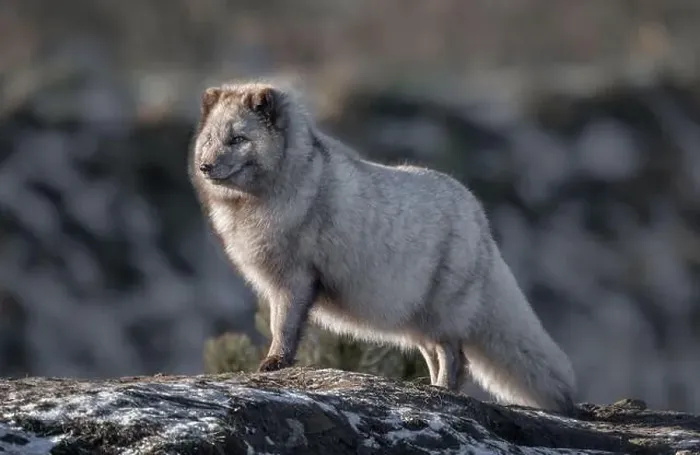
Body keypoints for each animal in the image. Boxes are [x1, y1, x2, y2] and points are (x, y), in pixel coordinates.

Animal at [188, 79, 577, 415]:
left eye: (238, 139)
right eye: (208, 139)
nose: (205, 166)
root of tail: (479, 219)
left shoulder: (295, 279)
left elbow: (283, 328)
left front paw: (274, 364)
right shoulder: (276, 283)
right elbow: (278, 325)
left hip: (440, 314)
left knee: (456, 357)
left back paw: (442, 390)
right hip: (416, 322)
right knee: (439, 355)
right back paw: (429, 387)